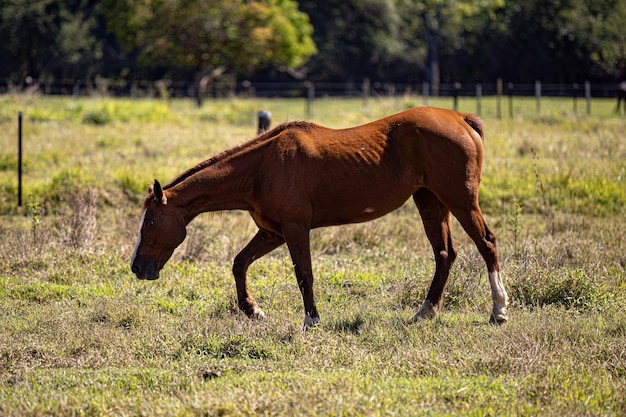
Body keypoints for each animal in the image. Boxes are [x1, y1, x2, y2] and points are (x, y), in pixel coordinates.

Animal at [130, 105, 508, 326]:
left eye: (150, 222)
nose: (137, 267)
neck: (261, 168)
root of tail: (460, 119)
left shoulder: (296, 230)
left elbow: (304, 276)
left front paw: (311, 319)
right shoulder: (273, 232)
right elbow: (239, 263)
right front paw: (253, 310)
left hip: (460, 201)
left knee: (486, 244)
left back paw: (499, 311)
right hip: (430, 202)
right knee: (445, 254)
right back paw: (426, 311)